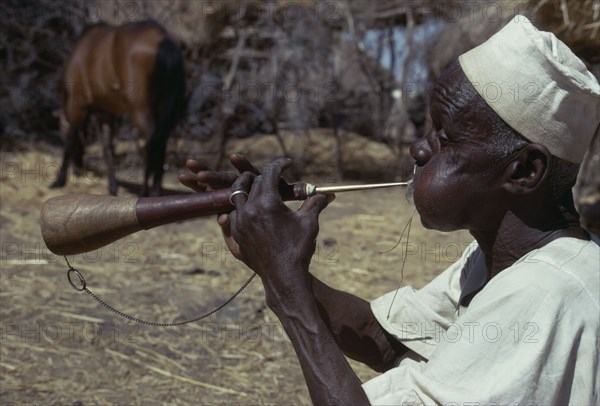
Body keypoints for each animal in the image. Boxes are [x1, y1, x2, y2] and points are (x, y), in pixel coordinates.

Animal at [51, 20, 185, 197]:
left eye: (61, 133)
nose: (78, 168)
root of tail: (163, 39)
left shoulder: (78, 107)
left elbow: (70, 141)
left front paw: (59, 181)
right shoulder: (108, 114)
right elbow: (108, 149)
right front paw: (112, 187)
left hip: (140, 112)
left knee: (153, 145)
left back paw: (147, 191)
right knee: (160, 142)